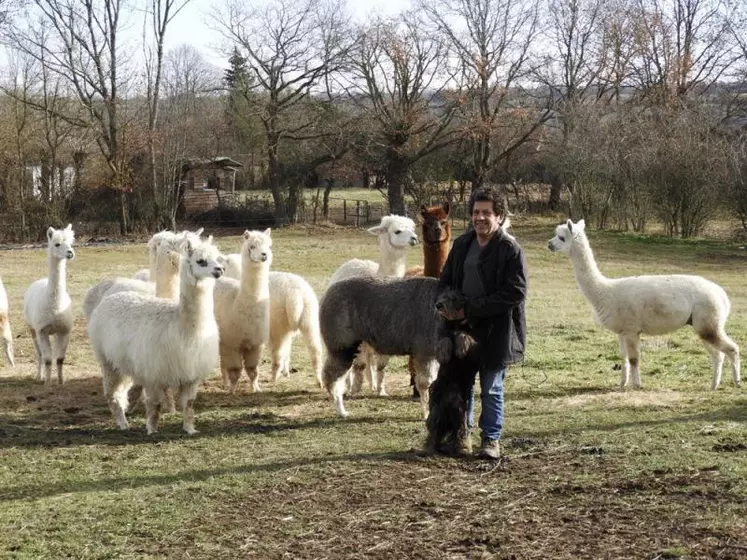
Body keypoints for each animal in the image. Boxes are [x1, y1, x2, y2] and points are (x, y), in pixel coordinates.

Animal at [426, 290, 480, 458]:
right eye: (442, 296)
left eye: (453, 297)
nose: (438, 305)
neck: (455, 323)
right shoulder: (439, 339)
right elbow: (444, 340)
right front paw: (446, 353)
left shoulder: (474, 348)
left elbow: (464, 336)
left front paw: (460, 349)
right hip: (435, 413)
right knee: (434, 433)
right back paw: (430, 449)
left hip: (460, 414)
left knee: (459, 433)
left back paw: (461, 448)